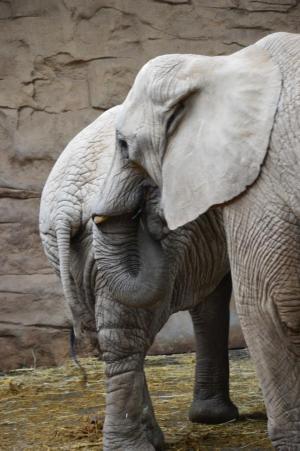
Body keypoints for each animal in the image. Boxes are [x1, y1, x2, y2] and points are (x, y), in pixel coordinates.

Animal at [39, 107, 238, 451]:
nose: (147, 211)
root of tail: (65, 206)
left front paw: (212, 417)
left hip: (71, 251)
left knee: (113, 333)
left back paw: (151, 438)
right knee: (129, 332)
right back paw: (138, 444)